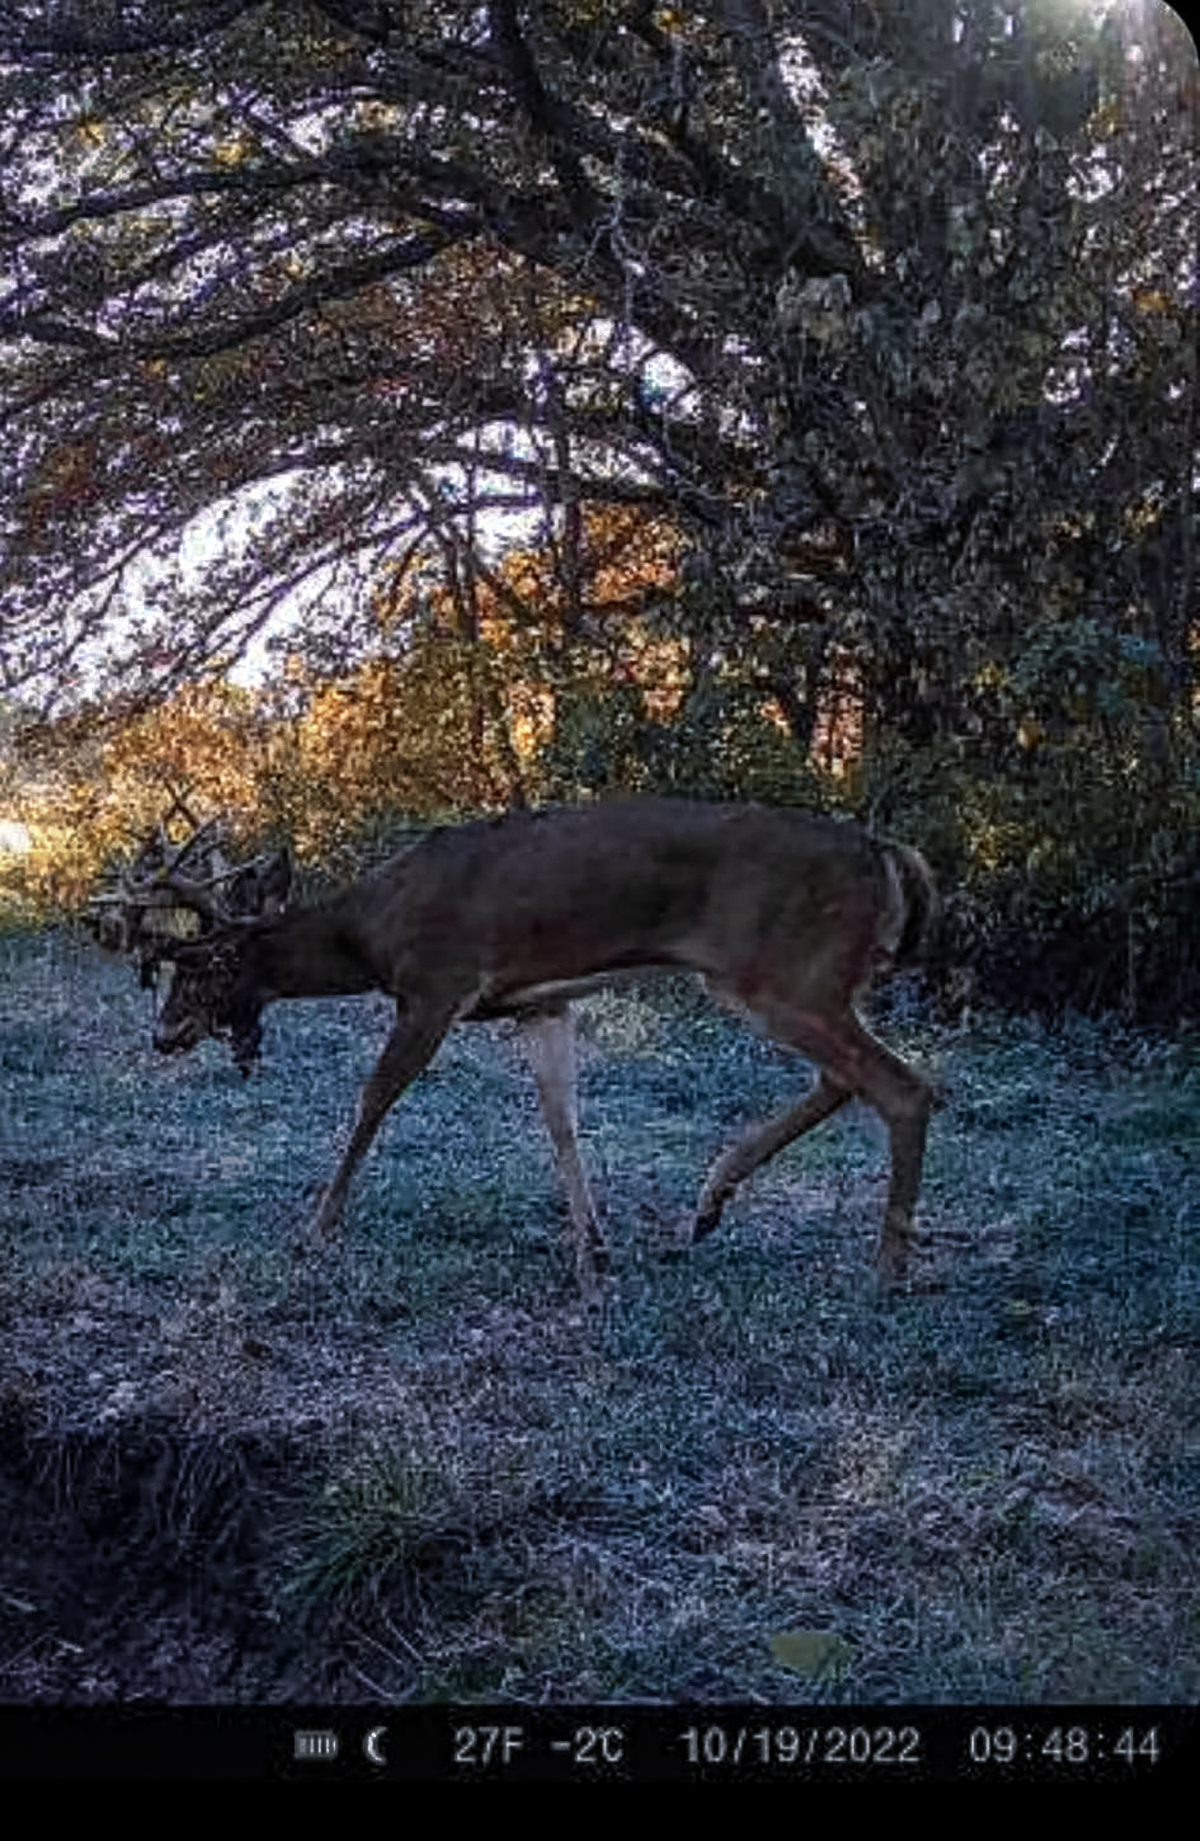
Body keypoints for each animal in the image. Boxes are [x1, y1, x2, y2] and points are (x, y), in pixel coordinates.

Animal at [91, 802, 938, 1296]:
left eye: (207, 964)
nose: (163, 1033)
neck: (371, 932)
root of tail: (891, 854)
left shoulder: (436, 984)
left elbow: (373, 1098)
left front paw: (318, 1227)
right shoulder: (541, 1001)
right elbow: (562, 1120)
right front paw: (594, 1254)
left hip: (783, 970)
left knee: (904, 1086)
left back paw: (886, 1270)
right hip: (808, 980)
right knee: (849, 1077)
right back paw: (709, 1204)